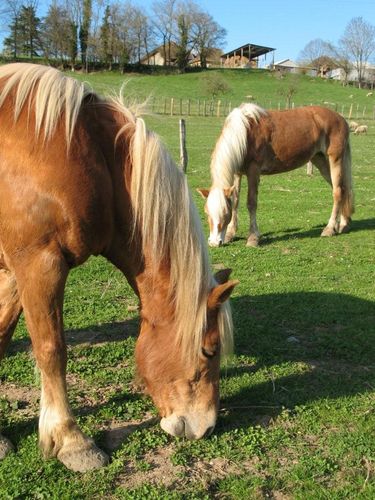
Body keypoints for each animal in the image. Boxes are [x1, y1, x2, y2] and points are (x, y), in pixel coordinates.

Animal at [0, 63, 236, 472]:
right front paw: (71, 441)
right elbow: (51, 350)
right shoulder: (39, 263)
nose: (204, 426)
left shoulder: (13, 271)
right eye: (209, 350)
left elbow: (0, 336)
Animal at [198, 104, 354, 248]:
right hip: (320, 160)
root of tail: (341, 119)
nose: (214, 242)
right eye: (206, 212)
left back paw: (329, 229)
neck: (244, 133)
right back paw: (343, 224)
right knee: (342, 189)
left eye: (225, 213)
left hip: (335, 159)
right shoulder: (237, 173)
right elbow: (235, 201)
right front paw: (230, 234)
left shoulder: (253, 171)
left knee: (338, 192)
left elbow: (251, 203)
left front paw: (253, 238)